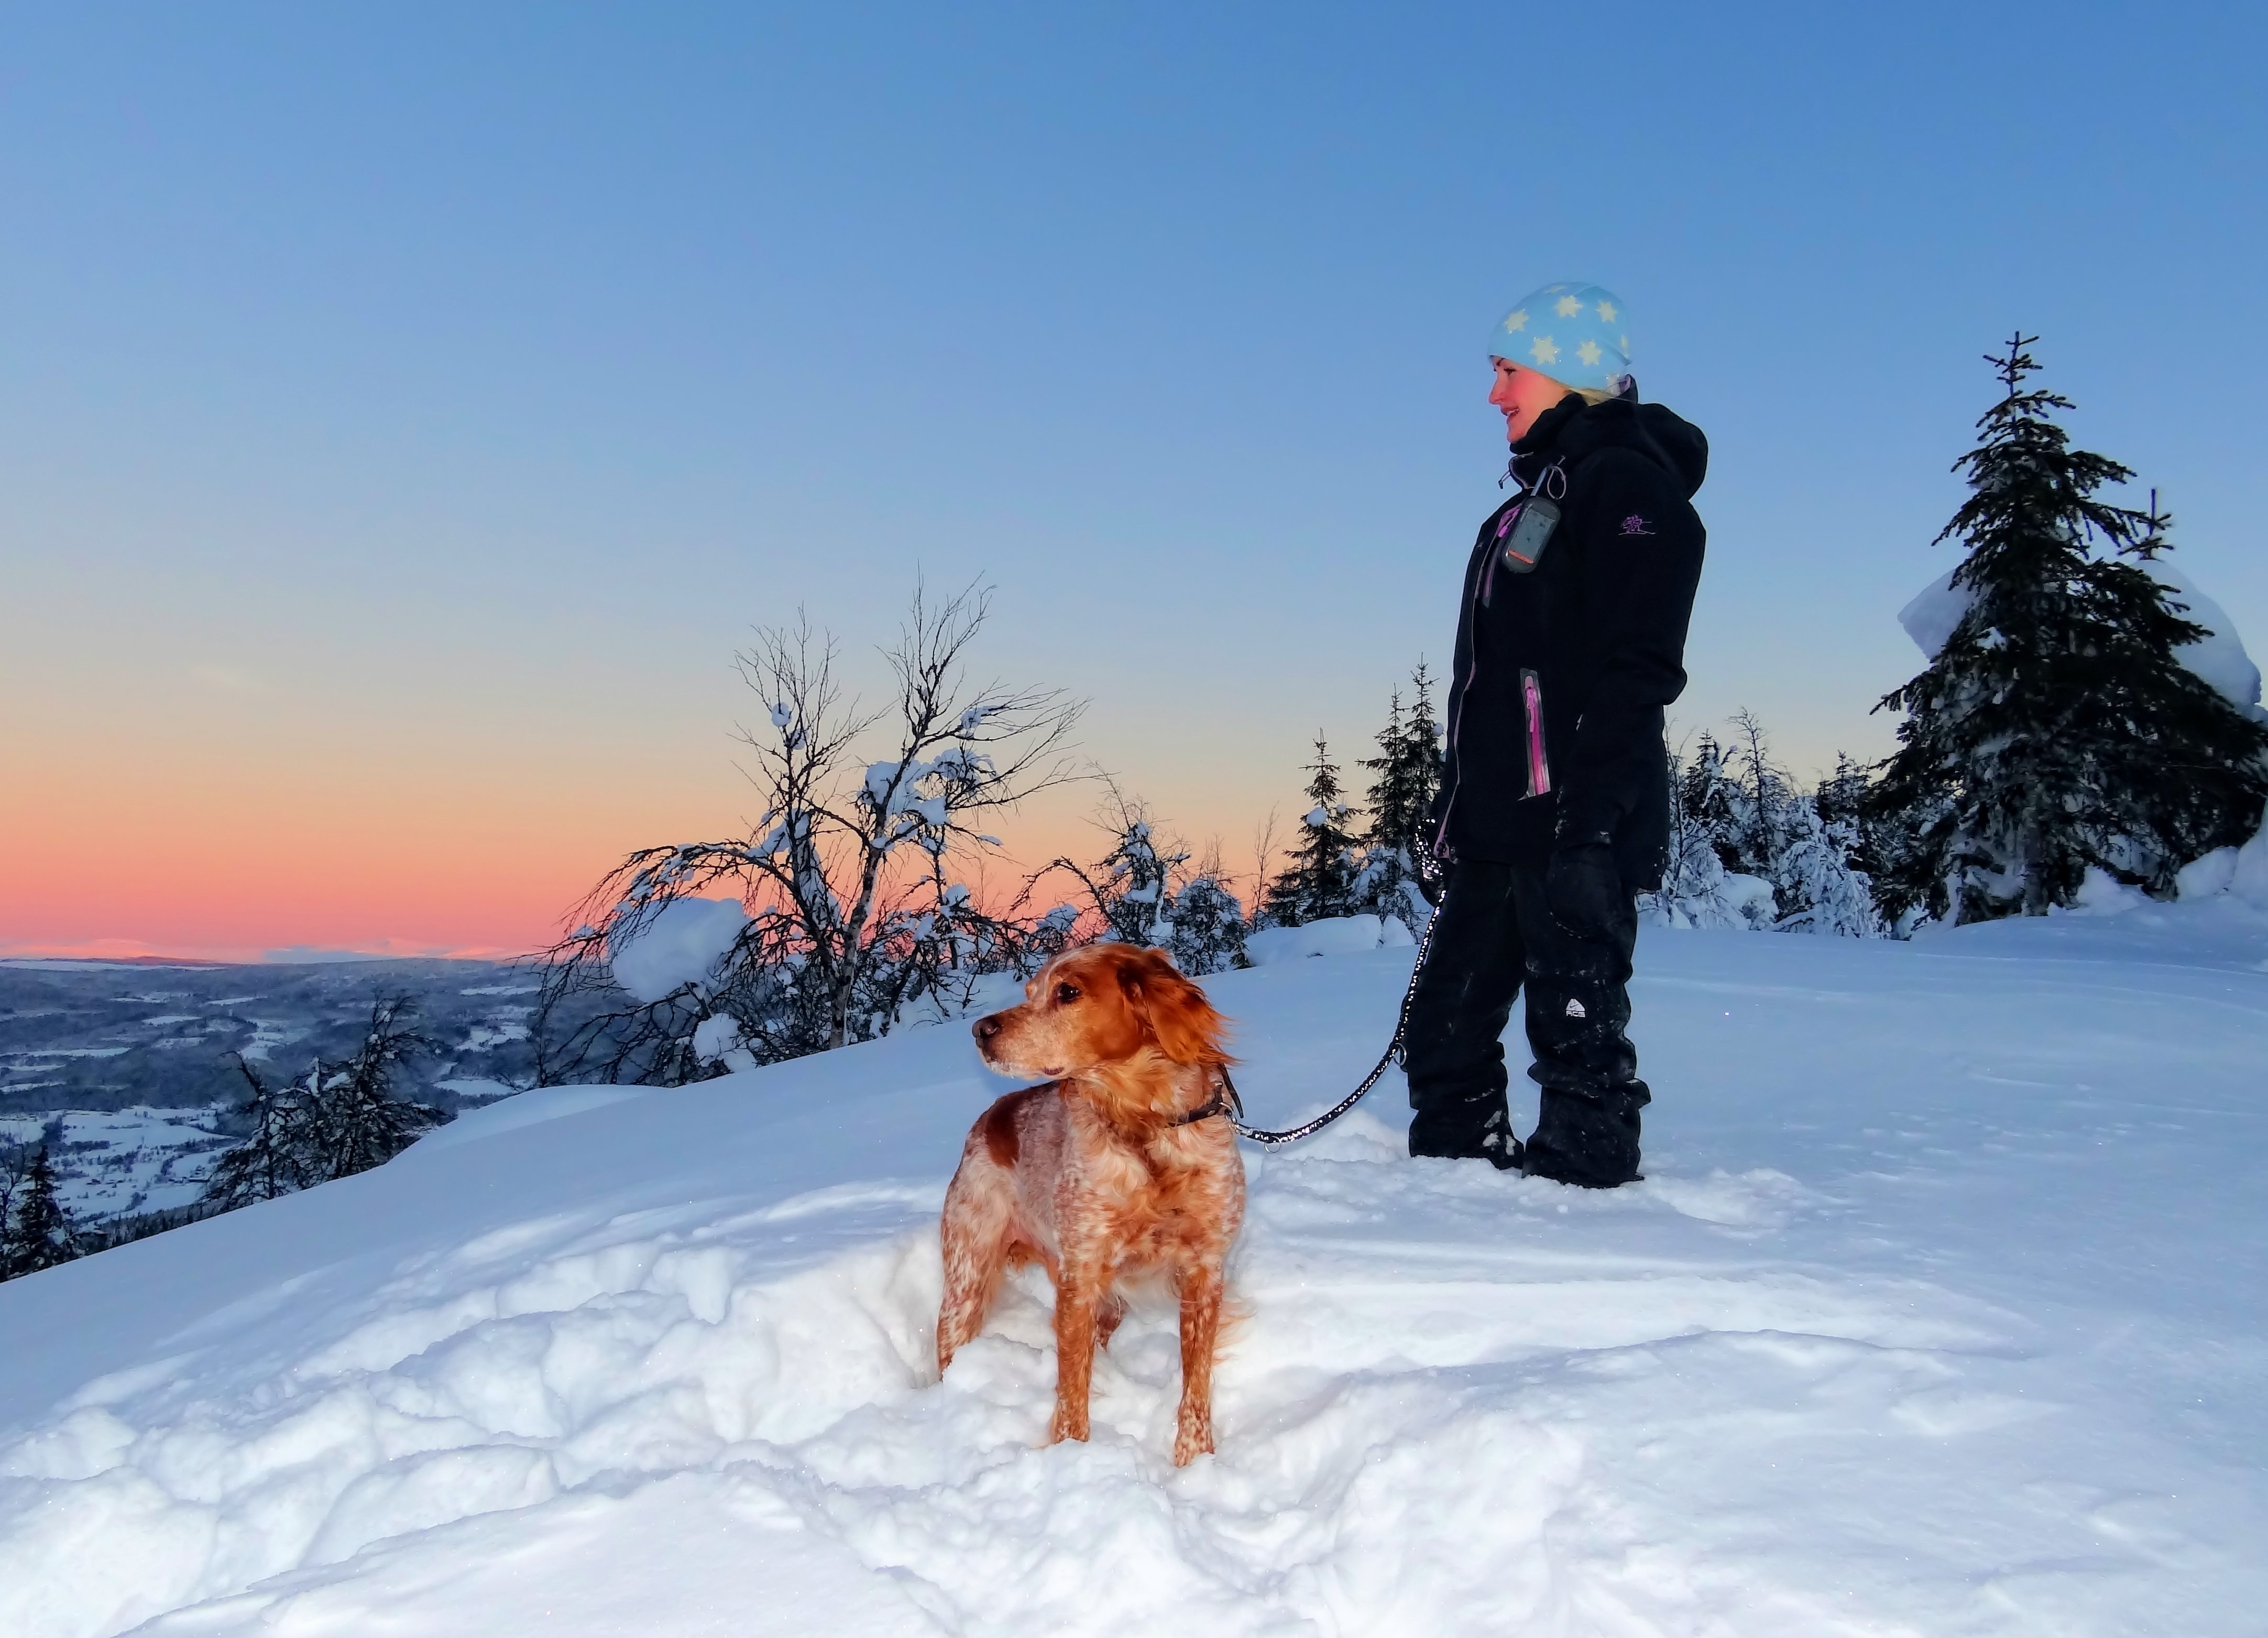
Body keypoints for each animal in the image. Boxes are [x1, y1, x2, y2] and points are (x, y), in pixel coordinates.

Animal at [937, 942, 1242, 1466]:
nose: (979, 1030)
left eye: (1068, 992)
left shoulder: (1205, 1269)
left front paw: (1195, 1461)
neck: (1143, 1125)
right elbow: (1071, 1389)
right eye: (1030, 992)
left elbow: (1195, 1384)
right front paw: (1071, 1455)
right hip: (967, 1276)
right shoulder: (1080, 1276)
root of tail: (991, 1117)